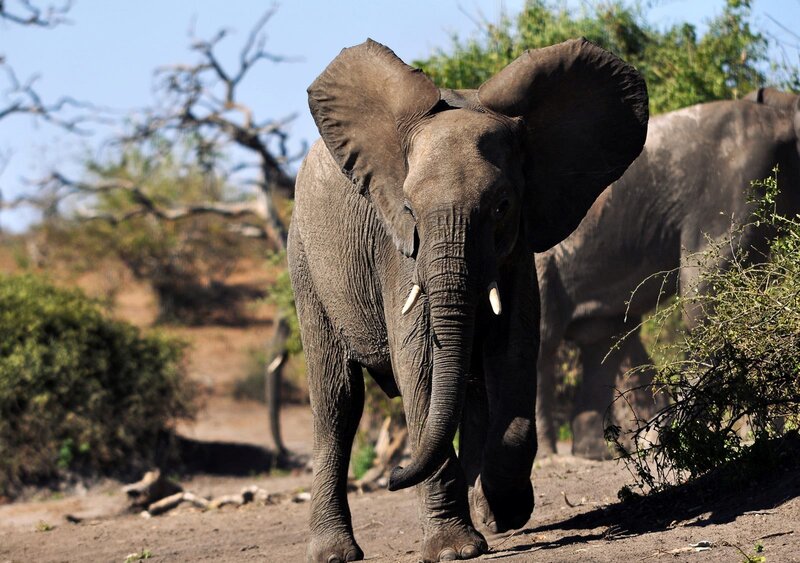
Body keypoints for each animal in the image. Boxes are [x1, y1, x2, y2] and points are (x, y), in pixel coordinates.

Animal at [288, 38, 647, 562]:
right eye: (410, 208)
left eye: (501, 206)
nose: (393, 476)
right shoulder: (400, 252)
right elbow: (421, 364)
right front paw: (455, 551)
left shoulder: (517, 251)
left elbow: (514, 351)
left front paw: (504, 511)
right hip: (305, 263)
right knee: (338, 402)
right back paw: (335, 553)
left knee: (472, 388)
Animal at [535, 88, 800, 460]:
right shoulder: (735, 184)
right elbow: (704, 295)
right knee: (546, 340)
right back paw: (550, 455)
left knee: (603, 338)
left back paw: (597, 454)